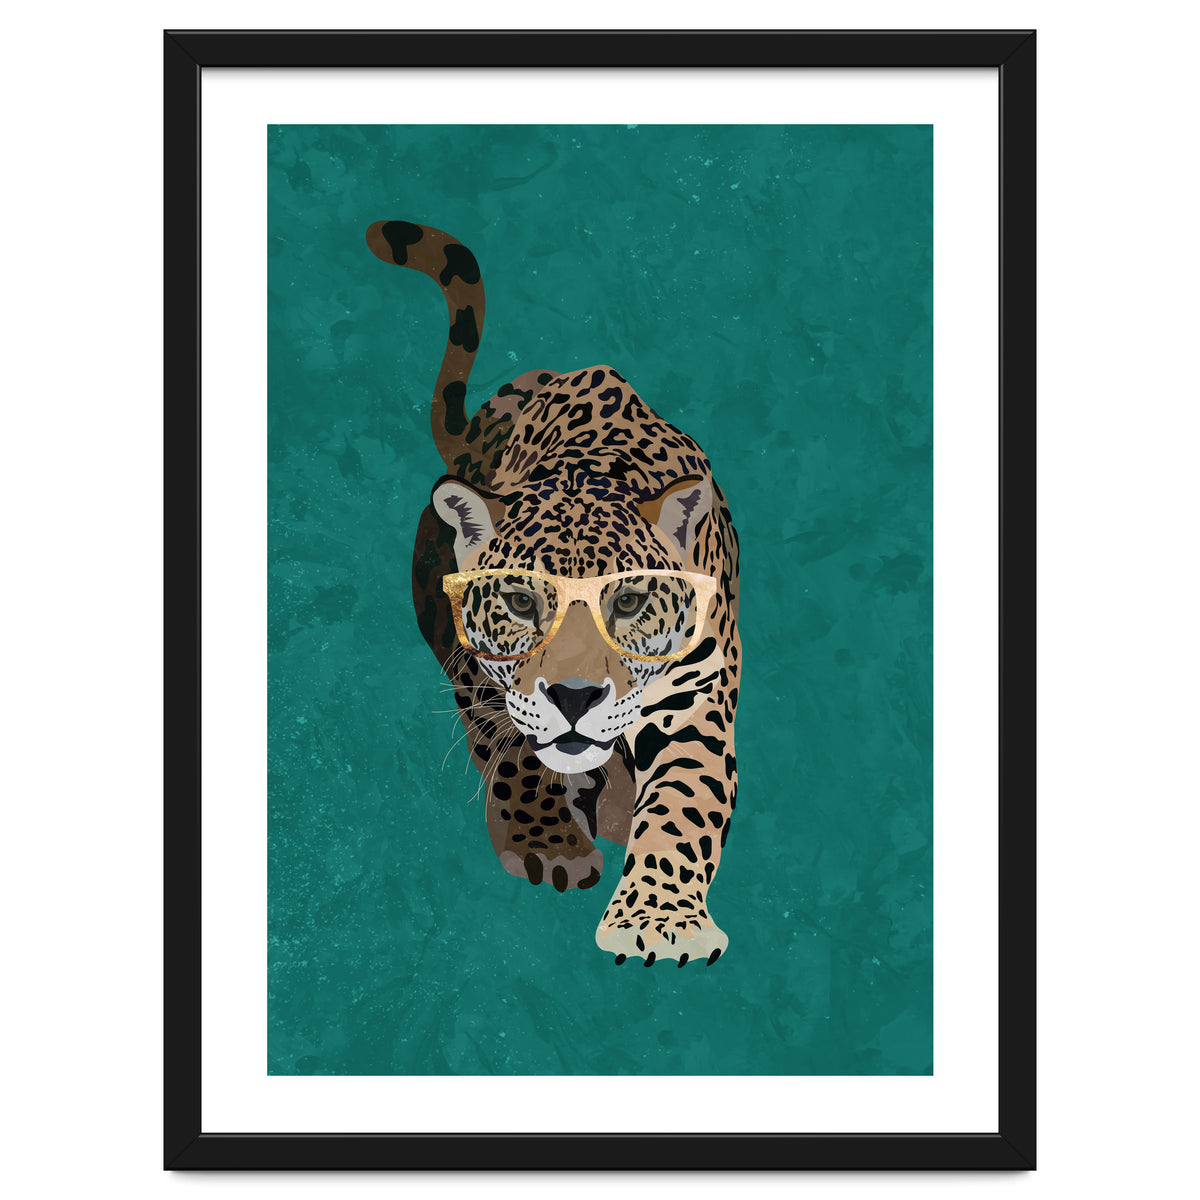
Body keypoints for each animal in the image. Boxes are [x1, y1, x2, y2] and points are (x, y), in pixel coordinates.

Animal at [366, 220, 741, 966]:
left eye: (626, 602)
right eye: (520, 602)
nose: (574, 697)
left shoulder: (696, 695)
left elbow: (684, 803)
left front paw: (659, 921)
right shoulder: (482, 673)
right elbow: (514, 752)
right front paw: (549, 844)